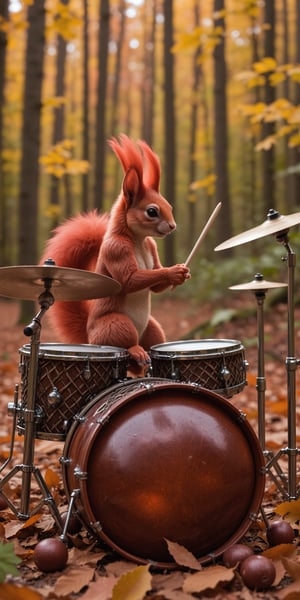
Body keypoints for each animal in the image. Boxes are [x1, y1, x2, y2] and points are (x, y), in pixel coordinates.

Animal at [40, 135, 190, 368]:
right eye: (152, 211)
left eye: (170, 207)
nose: (173, 226)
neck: (137, 239)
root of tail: (90, 339)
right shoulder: (116, 249)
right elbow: (129, 279)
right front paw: (173, 271)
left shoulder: (151, 246)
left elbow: (155, 284)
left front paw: (181, 273)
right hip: (116, 324)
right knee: (126, 344)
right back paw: (135, 351)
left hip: (152, 329)